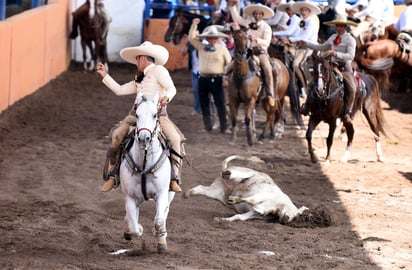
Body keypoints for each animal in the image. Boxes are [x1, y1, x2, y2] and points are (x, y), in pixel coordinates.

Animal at [120, 93, 175, 253]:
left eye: (155, 114)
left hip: (170, 193)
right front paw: (133, 229)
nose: (144, 138)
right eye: (137, 115)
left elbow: (159, 220)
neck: (144, 165)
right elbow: (134, 227)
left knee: (164, 213)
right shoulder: (130, 197)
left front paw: (159, 234)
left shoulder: (162, 193)